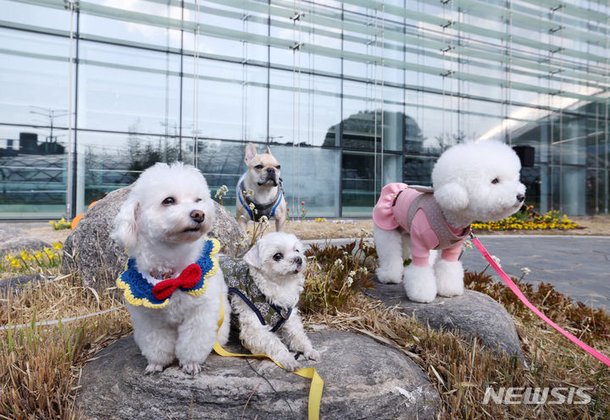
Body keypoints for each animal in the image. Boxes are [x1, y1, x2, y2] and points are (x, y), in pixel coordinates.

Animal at [110, 162, 229, 376]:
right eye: (169, 200)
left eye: (198, 200)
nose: (199, 214)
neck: (172, 270)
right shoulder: (149, 319)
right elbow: (157, 344)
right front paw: (156, 364)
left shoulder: (200, 313)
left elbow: (193, 342)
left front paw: (191, 363)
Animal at [224, 233, 318, 370]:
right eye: (277, 256)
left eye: (297, 250)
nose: (298, 259)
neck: (280, 286)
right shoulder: (254, 328)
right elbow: (273, 342)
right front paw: (287, 359)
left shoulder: (289, 317)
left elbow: (297, 334)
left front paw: (308, 349)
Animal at [370, 141, 524, 302]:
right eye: (495, 181)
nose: (521, 196)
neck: (448, 214)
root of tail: (395, 190)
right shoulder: (420, 243)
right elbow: (420, 270)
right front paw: (421, 294)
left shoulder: (453, 248)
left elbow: (448, 267)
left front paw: (449, 290)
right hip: (386, 228)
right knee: (390, 253)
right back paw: (389, 276)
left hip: (408, 233)